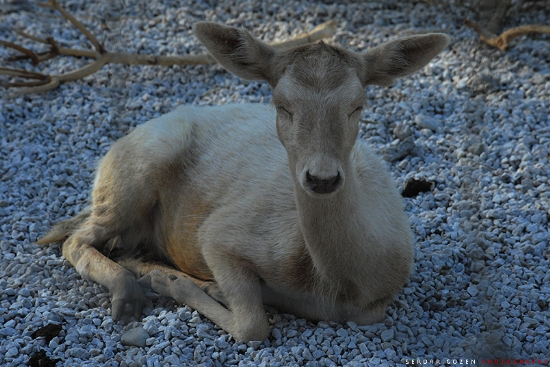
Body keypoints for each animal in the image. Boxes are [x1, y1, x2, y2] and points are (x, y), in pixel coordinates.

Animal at [40, 23, 452, 344]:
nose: (322, 177)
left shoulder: (375, 305)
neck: (341, 281)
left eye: (357, 105)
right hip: (131, 175)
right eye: (282, 105)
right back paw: (130, 287)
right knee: (75, 238)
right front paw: (175, 282)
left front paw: (179, 280)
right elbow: (253, 326)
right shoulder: (219, 233)